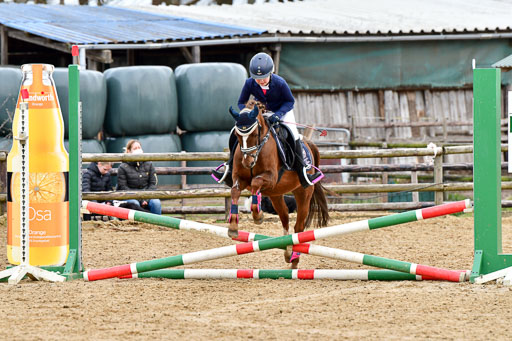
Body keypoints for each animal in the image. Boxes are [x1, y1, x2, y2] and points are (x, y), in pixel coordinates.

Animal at [227, 100, 328, 268]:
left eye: (254, 134)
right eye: (236, 135)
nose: (247, 163)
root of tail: (308, 143)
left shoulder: (270, 177)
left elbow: (255, 182)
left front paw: (258, 216)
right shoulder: (239, 178)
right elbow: (235, 192)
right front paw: (233, 227)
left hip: (303, 192)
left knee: (298, 226)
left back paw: (294, 259)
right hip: (276, 194)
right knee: (285, 217)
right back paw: (287, 252)